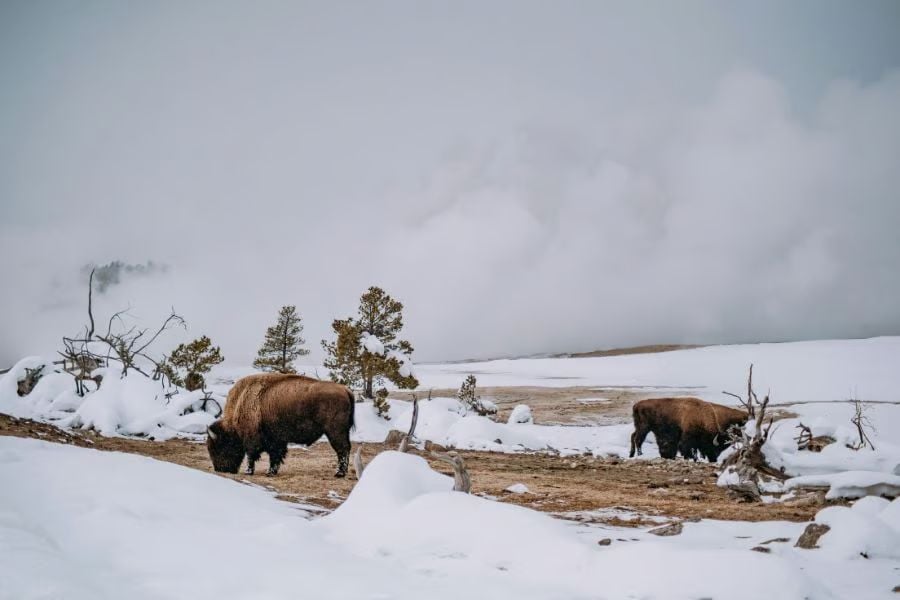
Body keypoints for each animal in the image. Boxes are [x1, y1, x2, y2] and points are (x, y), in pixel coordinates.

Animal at [207, 373, 355, 477]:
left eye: (219, 447)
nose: (220, 469)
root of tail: (345, 390)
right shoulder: (276, 440)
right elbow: (275, 456)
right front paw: (271, 472)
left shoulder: (252, 439)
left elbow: (252, 456)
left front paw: (249, 472)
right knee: (345, 449)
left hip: (335, 432)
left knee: (342, 449)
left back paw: (339, 473)